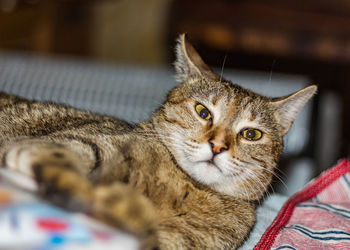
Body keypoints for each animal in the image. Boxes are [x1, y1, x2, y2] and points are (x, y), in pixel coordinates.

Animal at [0, 33, 318, 250]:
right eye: (203, 111)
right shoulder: (85, 144)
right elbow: (62, 158)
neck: (187, 186)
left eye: (251, 134)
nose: (218, 146)